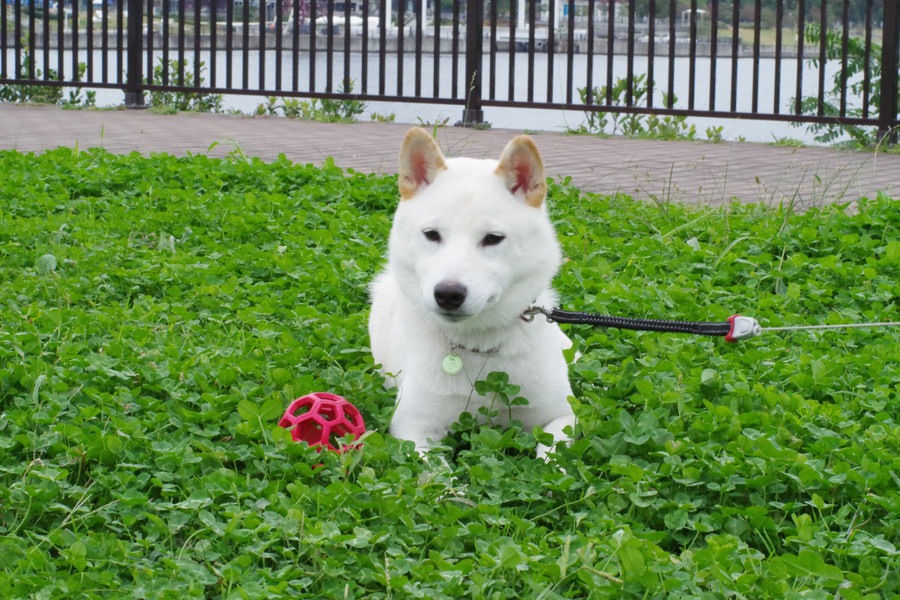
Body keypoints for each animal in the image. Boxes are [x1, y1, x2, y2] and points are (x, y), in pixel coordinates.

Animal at [370, 125, 576, 454]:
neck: (481, 348)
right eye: (431, 234)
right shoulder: (412, 429)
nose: (448, 294)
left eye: (493, 238)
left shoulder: (561, 416)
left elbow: (552, 457)